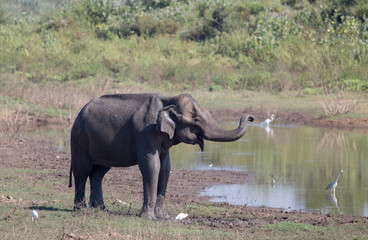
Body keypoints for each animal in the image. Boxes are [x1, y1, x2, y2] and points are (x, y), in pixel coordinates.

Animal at [67, 93, 254, 219]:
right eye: (197, 119)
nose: (251, 117)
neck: (168, 99)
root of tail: (78, 113)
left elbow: (165, 168)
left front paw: (164, 217)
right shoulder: (145, 131)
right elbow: (152, 166)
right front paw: (149, 218)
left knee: (98, 173)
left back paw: (101, 210)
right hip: (79, 139)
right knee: (82, 172)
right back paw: (80, 209)